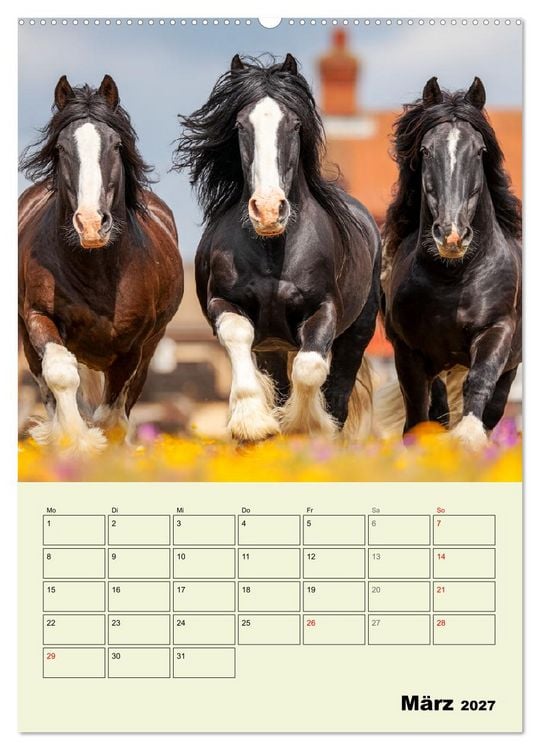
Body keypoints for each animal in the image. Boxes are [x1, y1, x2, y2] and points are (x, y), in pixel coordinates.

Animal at [19, 75, 184, 452]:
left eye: (116, 146)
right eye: (61, 149)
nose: (92, 224)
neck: (96, 270)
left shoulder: (133, 345)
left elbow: (112, 418)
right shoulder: (38, 316)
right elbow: (60, 374)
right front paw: (76, 441)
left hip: (151, 345)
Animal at [173, 53, 380, 442]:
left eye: (295, 125)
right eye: (241, 126)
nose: (269, 210)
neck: (274, 251)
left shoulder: (325, 309)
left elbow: (310, 368)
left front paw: (303, 427)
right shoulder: (224, 304)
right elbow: (238, 336)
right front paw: (252, 423)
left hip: (357, 334)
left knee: (338, 396)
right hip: (274, 346)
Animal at [379, 77, 521, 449]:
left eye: (480, 151)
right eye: (426, 151)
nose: (452, 236)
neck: (453, 277)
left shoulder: (497, 329)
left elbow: (480, 382)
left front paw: (469, 440)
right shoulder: (409, 352)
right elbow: (418, 412)